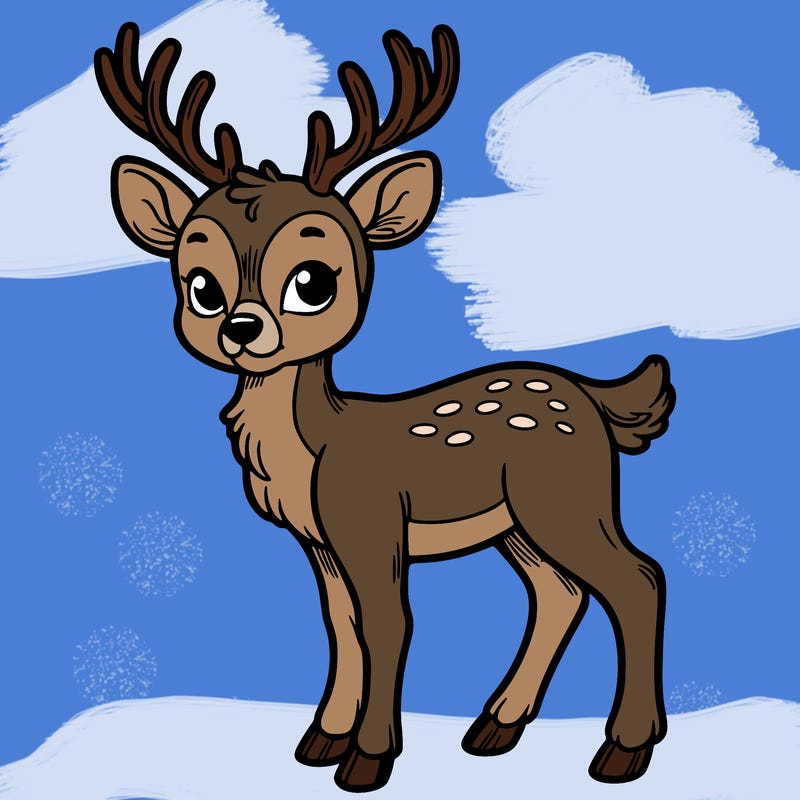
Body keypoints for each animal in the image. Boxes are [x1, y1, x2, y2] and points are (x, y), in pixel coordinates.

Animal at [95, 22, 675, 793]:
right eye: (200, 285)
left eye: (313, 280)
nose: (241, 329)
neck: (313, 450)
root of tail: (594, 396)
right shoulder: (319, 540)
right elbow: (339, 625)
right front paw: (320, 740)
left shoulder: (369, 520)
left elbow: (388, 625)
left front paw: (368, 759)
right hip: (516, 522)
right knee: (560, 593)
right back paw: (495, 728)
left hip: (567, 494)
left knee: (638, 579)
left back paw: (623, 751)